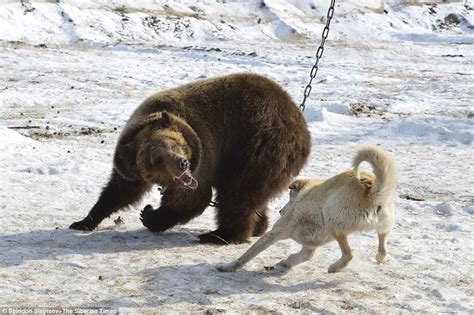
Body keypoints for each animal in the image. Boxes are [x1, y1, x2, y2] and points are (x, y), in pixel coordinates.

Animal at [67, 73, 312, 246]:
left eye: (177, 145)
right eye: (157, 158)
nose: (182, 163)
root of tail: (299, 123)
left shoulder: (205, 149)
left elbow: (192, 197)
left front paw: (149, 214)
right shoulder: (129, 163)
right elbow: (119, 190)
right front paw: (83, 221)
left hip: (256, 144)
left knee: (239, 192)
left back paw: (220, 234)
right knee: (251, 193)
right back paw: (257, 226)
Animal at [218, 146, 396, 274]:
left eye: (290, 197)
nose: (280, 211)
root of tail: (370, 191)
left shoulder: (275, 233)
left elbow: (247, 255)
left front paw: (228, 266)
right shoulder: (310, 246)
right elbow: (304, 255)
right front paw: (286, 262)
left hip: (331, 218)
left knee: (348, 255)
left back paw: (334, 268)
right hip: (383, 226)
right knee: (381, 248)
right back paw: (381, 257)